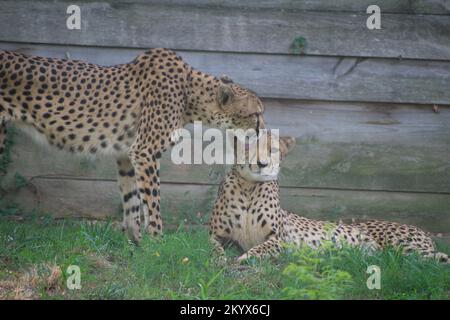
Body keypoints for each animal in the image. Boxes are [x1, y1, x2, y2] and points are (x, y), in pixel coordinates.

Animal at [0, 48, 266, 241]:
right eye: (256, 114)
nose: (262, 129)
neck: (190, 93)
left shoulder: (127, 154)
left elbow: (132, 201)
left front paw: (135, 243)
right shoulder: (145, 151)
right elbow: (153, 200)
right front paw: (157, 242)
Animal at [209, 134, 448, 262]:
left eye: (274, 149)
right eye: (249, 145)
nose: (262, 163)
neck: (249, 187)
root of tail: (423, 231)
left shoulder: (279, 239)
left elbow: (260, 248)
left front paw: (244, 258)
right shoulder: (216, 236)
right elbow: (212, 249)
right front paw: (219, 260)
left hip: (408, 250)